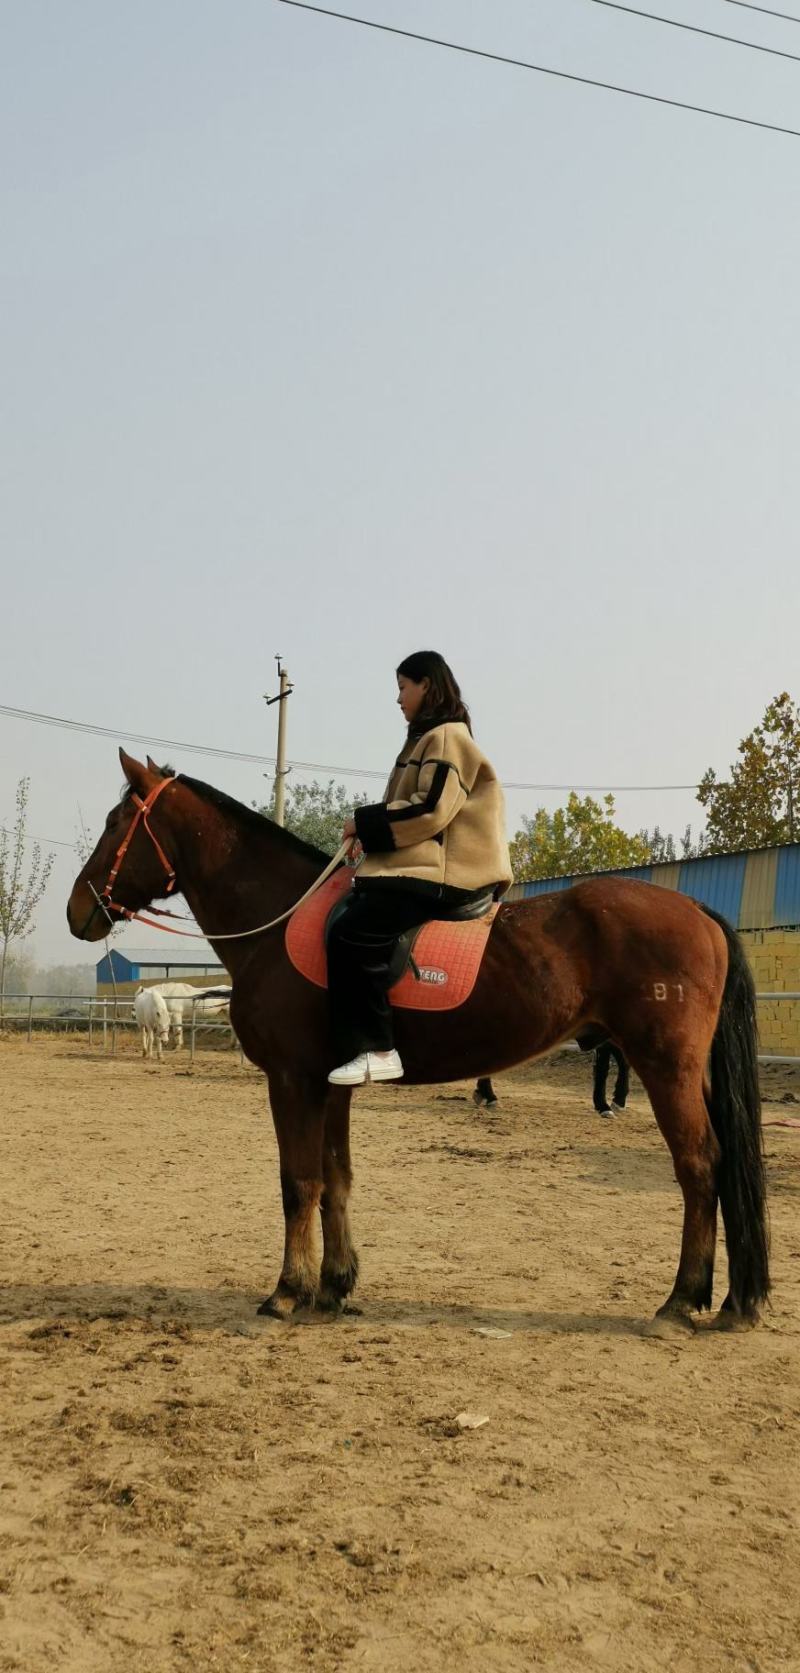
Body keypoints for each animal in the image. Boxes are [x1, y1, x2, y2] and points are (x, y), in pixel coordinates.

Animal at [66, 752, 769, 1332]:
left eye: (115, 822)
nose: (78, 911)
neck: (283, 924)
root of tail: (697, 912)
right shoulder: (333, 1086)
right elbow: (336, 1179)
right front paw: (335, 1287)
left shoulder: (292, 1079)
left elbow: (298, 1181)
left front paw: (289, 1291)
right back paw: (734, 1301)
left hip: (665, 1067)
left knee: (699, 1166)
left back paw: (680, 1301)